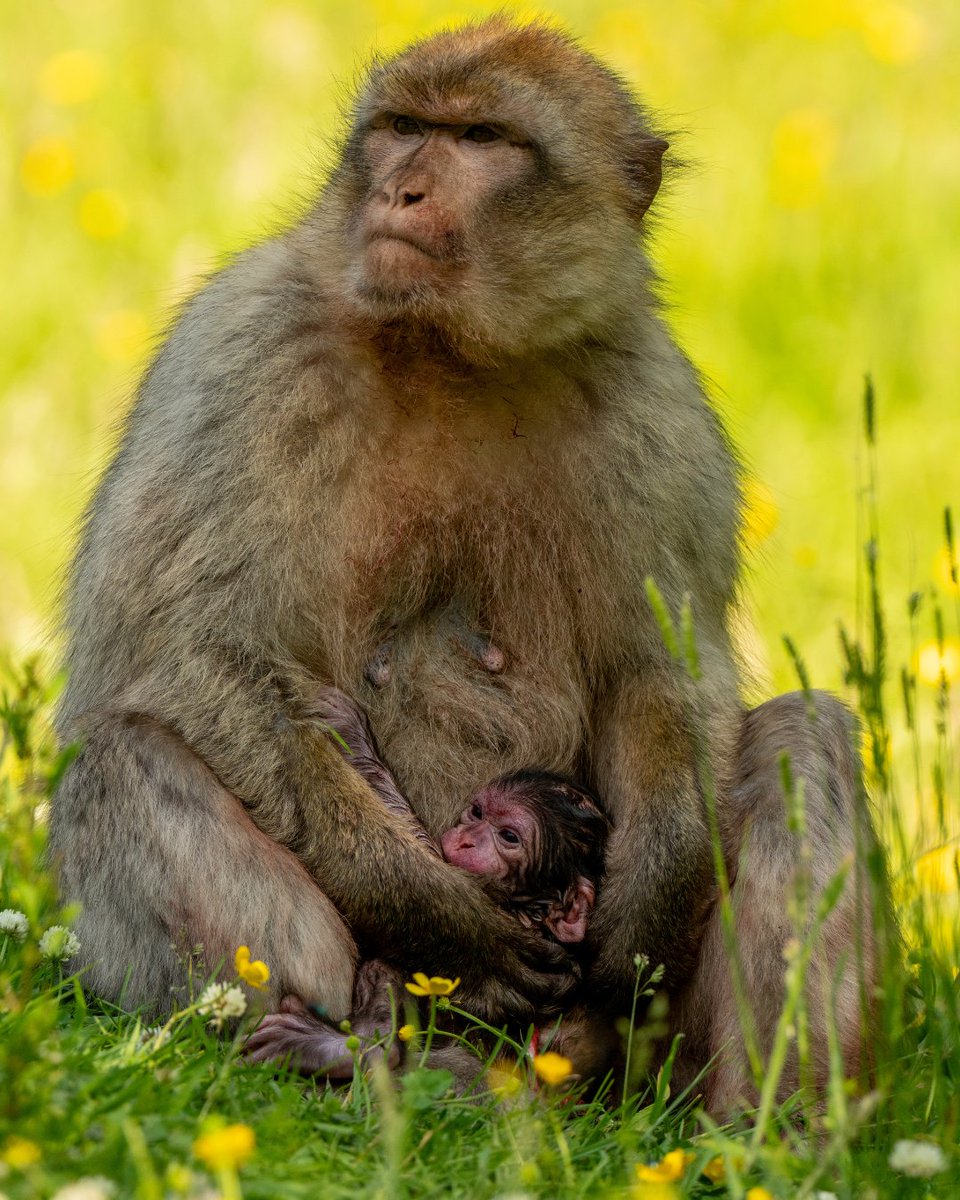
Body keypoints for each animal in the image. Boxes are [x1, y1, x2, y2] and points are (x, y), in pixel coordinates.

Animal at [244, 686, 610, 1077]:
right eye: (477, 813)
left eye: (509, 836)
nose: (466, 839)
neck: (529, 905)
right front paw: (353, 734)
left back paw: (355, 1049)